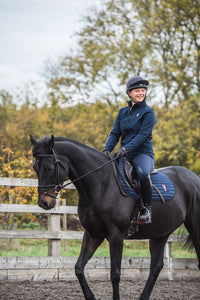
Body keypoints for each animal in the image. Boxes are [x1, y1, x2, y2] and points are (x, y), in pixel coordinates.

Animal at [29, 136, 200, 300]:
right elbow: (78, 268)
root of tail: (193, 178)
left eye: (49, 167)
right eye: (35, 168)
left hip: (194, 229)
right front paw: (91, 296)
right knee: (156, 266)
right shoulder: (93, 234)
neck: (101, 184)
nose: (44, 203)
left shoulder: (116, 235)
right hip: (160, 234)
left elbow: (115, 274)